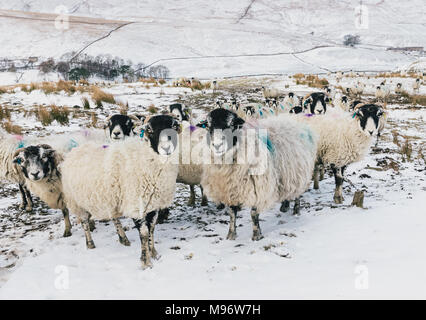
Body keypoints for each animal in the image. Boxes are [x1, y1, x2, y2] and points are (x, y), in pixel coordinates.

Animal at [199, 109, 316, 239]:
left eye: (231, 125)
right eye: (208, 127)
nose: (217, 145)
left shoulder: (258, 186)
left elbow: (254, 213)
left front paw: (256, 235)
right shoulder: (230, 188)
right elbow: (232, 213)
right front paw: (231, 234)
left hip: (298, 171)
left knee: (297, 191)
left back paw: (296, 210)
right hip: (285, 174)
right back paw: (284, 206)